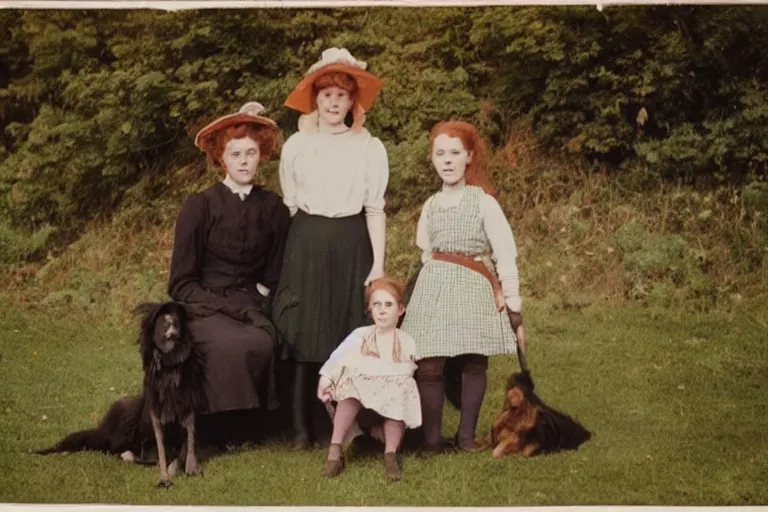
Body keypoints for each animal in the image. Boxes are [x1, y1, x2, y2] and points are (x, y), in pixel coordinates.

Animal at [35, 302, 206, 486]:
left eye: (176, 324)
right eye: (164, 324)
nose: (173, 335)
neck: (169, 368)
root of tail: (104, 428)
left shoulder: (186, 416)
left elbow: (182, 451)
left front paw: (181, 469)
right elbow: (158, 456)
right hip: (127, 413)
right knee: (113, 448)